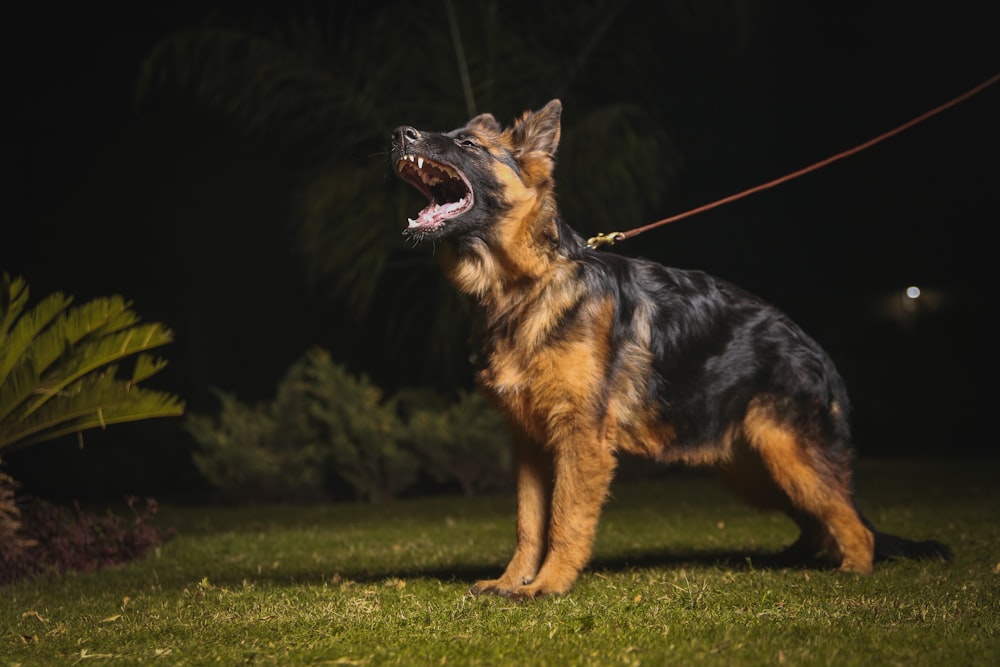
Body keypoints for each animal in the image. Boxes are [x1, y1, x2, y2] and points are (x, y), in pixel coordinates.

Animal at [386, 100, 948, 600]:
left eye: (467, 144)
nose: (397, 133)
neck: (525, 285)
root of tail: (817, 352)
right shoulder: (530, 446)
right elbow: (528, 523)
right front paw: (511, 581)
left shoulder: (581, 441)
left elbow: (565, 520)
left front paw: (548, 585)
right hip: (759, 472)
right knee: (820, 522)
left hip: (790, 460)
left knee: (852, 524)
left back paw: (851, 572)